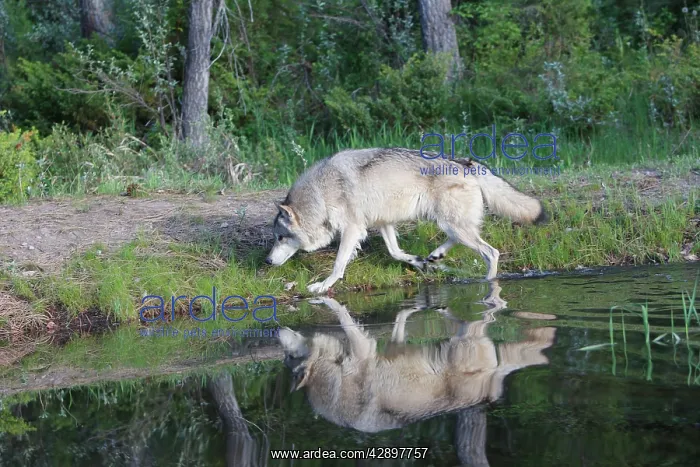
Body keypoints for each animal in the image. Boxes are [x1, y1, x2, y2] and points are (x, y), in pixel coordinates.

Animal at [264, 148, 547, 294]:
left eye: (280, 237)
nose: (266, 261)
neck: (321, 194)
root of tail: (464, 162)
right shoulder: (383, 223)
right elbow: (395, 252)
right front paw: (418, 262)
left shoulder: (353, 229)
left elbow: (338, 265)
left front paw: (322, 286)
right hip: (451, 224)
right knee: (457, 241)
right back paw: (434, 256)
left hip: (453, 225)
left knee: (491, 253)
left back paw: (487, 283)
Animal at [277, 283, 556, 435]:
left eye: (290, 356)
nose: (277, 332)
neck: (331, 379)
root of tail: (487, 392)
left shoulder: (363, 348)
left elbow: (344, 318)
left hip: (464, 339)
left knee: (489, 317)